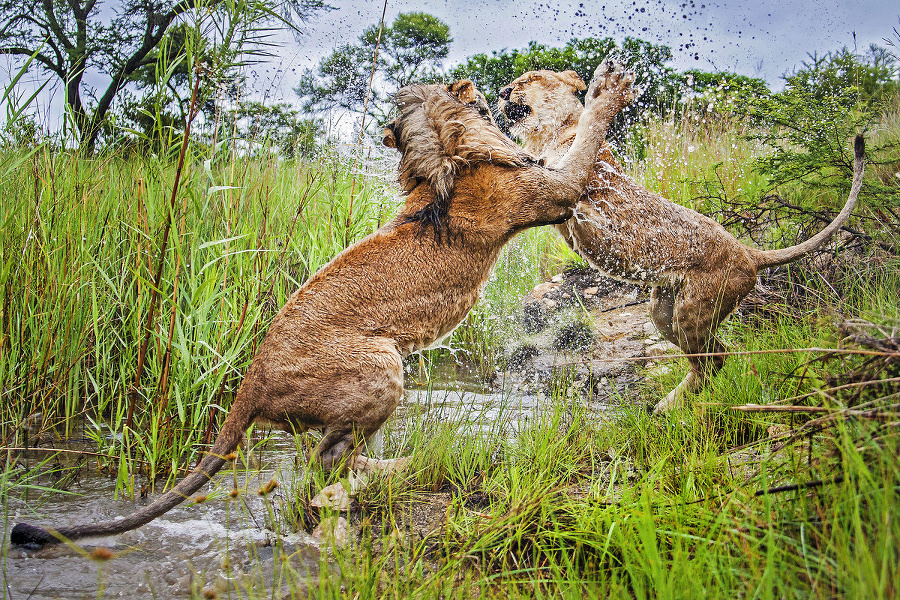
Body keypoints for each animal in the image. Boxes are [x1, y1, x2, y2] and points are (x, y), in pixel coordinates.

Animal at [10, 61, 636, 548]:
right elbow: (583, 145)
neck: (444, 157)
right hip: (382, 365)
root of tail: (251, 382)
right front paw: (607, 89)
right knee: (319, 464)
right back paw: (385, 475)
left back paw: (393, 467)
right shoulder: (552, 192)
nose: (481, 86)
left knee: (327, 457)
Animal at [500, 67, 864, 412]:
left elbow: (585, 134)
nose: (503, 91)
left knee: (714, 358)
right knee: (714, 356)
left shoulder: (572, 181)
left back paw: (670, 407)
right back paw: (666, 408)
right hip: (664, 312)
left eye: (531, 79)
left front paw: (606, 91)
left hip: (693, 311)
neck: (545, 135)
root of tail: (748, 252)